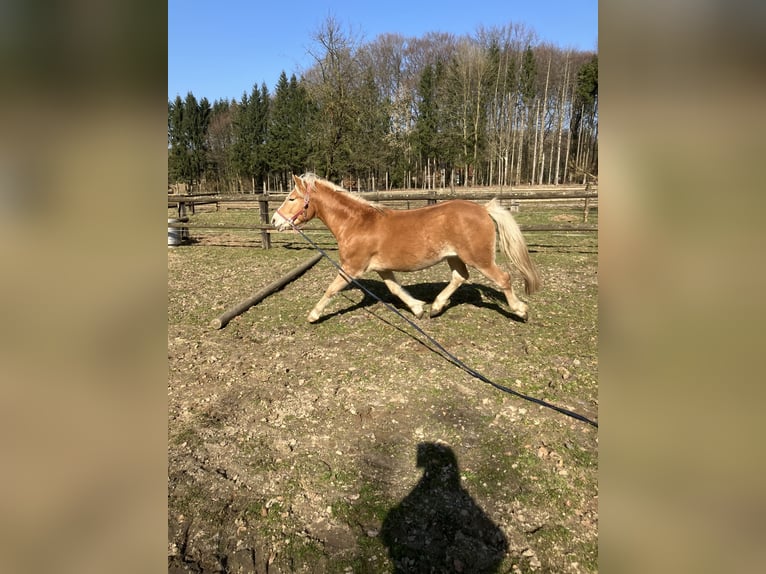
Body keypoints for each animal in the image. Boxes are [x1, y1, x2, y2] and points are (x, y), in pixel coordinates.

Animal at [272, 173, 541, 323]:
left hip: (480, 258)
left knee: (503, 278)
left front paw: (313, 315)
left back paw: (521, 311)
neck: (357, 223)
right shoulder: (382, 268)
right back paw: (436, 307)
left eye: (291, 198)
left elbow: (331, 289)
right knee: (460, 277)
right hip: (454, 257)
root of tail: (483, 209)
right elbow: (394, 288)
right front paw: (418, 309)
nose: (274, 221)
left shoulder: (352, 268)